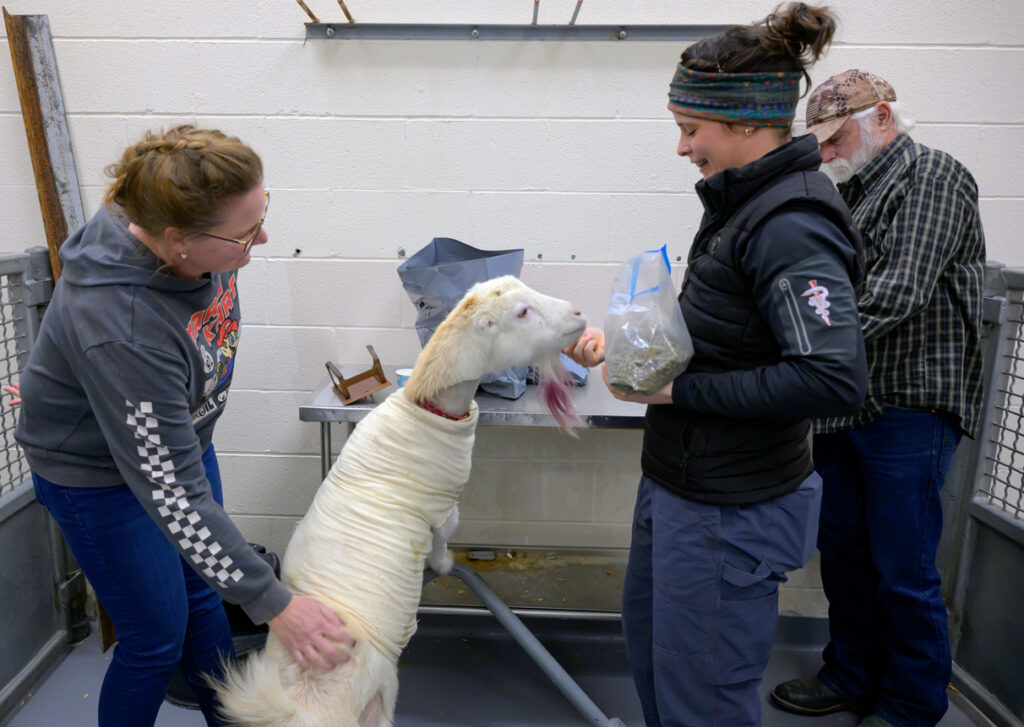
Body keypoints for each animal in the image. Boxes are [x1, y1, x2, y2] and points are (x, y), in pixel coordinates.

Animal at [214, 275, 586, 727]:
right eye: (522, 312)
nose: (580, 314)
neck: (426, 410)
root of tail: (304, 706)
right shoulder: (441, 508)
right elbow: (444, 537)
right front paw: (443, 565)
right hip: (381, 691)